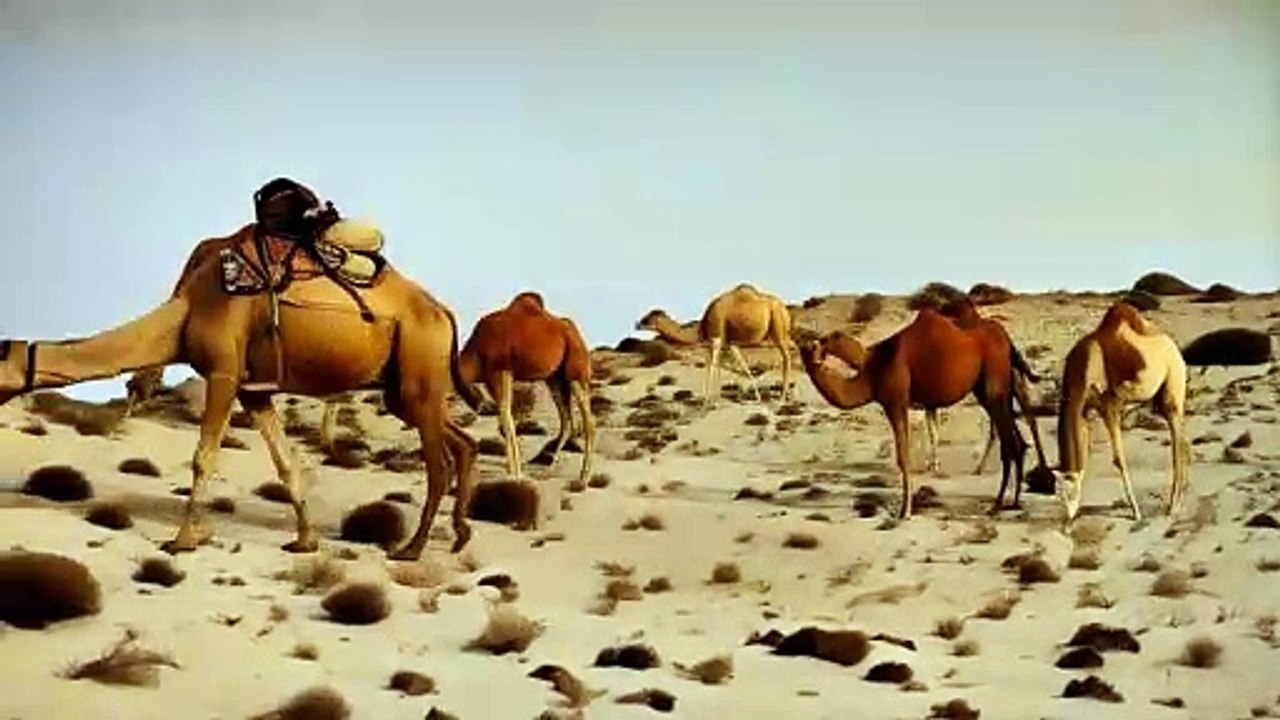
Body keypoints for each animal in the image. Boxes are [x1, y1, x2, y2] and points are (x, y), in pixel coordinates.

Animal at [0, 222, 484, 560]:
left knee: (439, 463)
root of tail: (444, 313)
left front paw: (183, 540)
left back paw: (412, 549)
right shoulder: (255, 390)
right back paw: (460, 535)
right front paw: (305, 541)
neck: (186, 310)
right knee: (463, 442)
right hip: (404, 387)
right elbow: (286, 463)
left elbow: (203, 458)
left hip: (420, 366)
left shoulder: (224, 372)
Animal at [457, 292, 595, 485]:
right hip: (555, 379)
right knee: (566, 419)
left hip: (576, 372)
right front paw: (514, 471)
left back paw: (584, 477)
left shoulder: (501, 370)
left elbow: (506, 416)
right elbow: (505, 417)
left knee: (588, 422)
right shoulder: (492, 379)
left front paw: (515, 474)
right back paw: (549, 468)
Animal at [635, 283, 795, 405]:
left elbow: (711, 366)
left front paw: (705, 402)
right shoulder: (728, 342)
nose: (637, 324)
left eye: (649, 318)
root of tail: (784, 309)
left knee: (787, 358)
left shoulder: (716, 338)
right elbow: (735, 365)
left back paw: (782, 398)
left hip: (778, 327)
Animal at [798, 308, 1027, 518]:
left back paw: (998, 503)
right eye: (805, 347)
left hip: (994, 384)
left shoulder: (895, 401)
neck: (874, 369)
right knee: (1015, 439)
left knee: (1009, 441)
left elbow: (903, 457)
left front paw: (904, 511)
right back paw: (1012, 502)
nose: (815, 352)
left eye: (825, 340)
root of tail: (1005, 338)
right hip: (988, 390)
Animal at [1053, 301, 1189, 523]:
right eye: (1057, 495)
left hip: (1173, 387)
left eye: (1070, 492)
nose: (1068, 517)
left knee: (1176, 444)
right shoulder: (1084, 410)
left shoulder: (1110, 406)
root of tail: (1173, 346)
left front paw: (1136, 512)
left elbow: (1119, 459)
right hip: (1158, 399)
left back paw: (1172, 507)